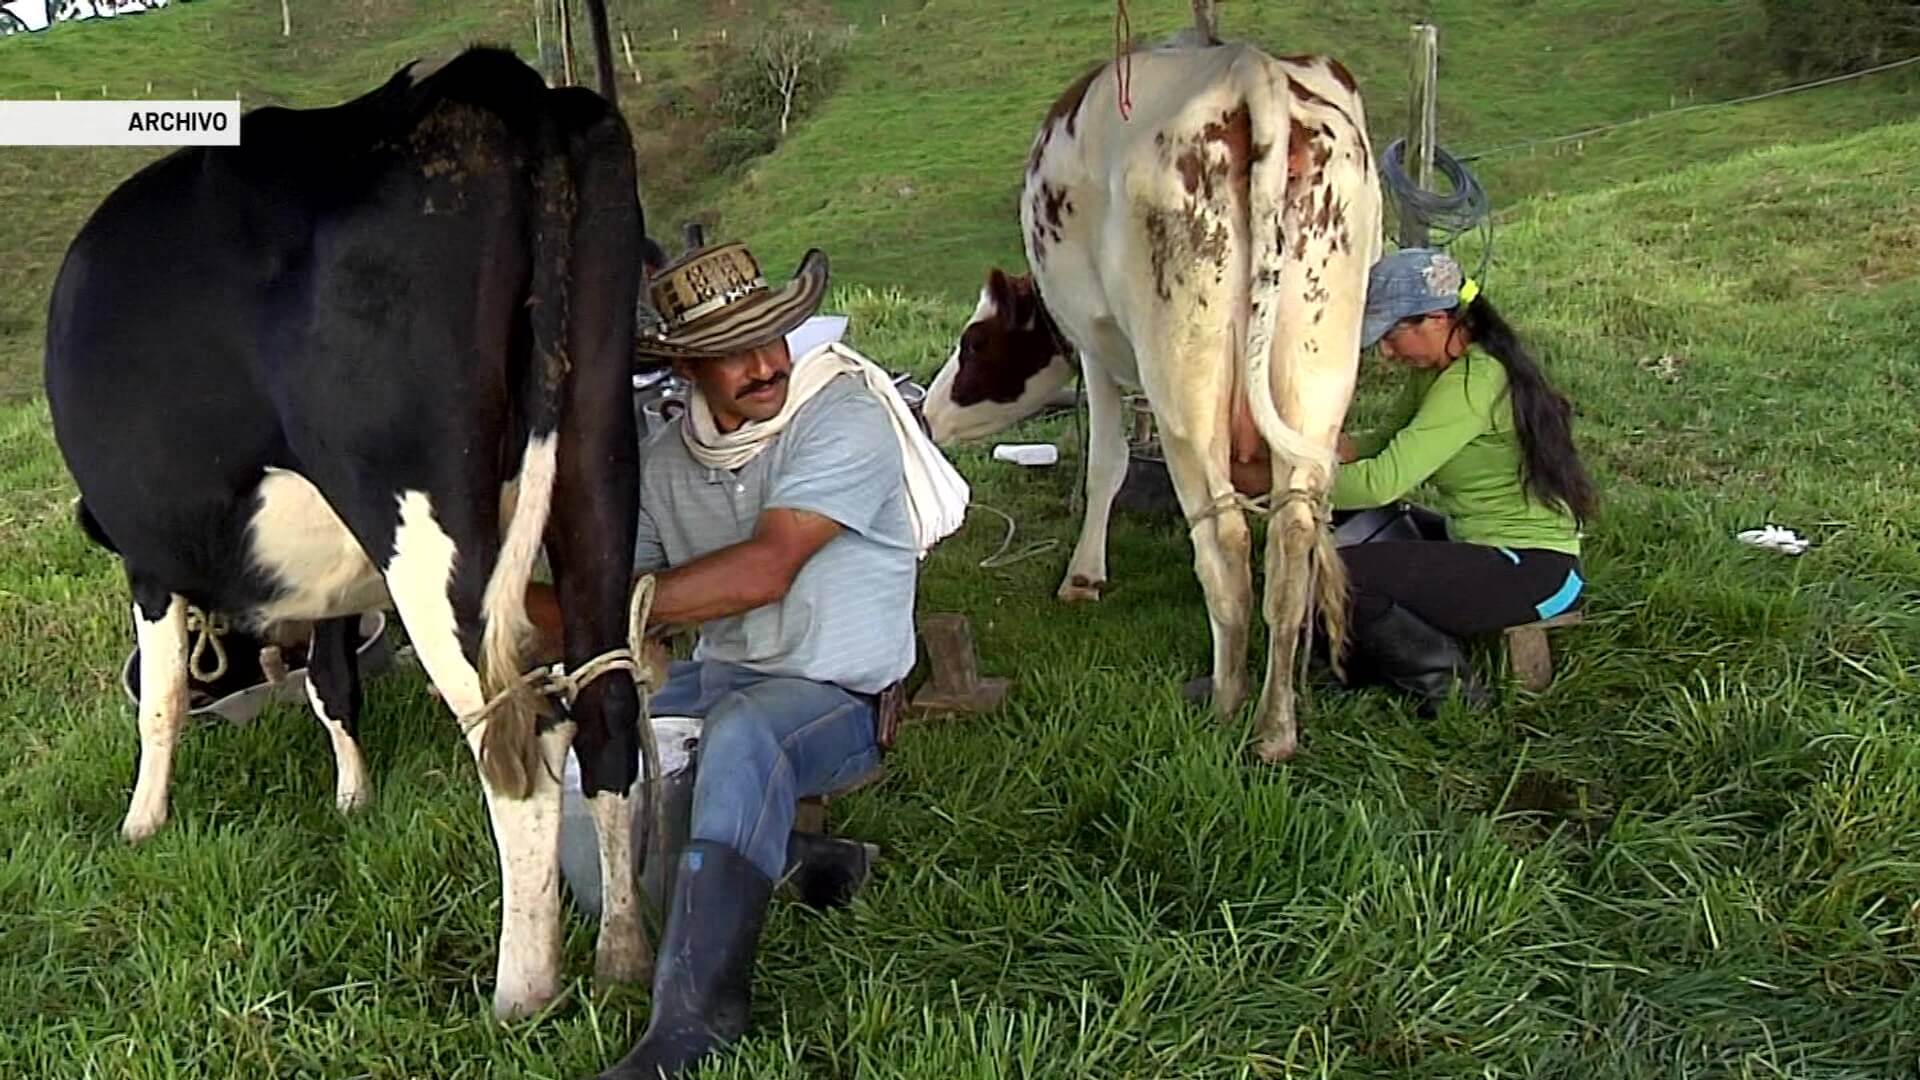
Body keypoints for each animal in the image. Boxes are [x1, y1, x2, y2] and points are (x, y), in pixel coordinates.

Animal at [45, 42, 656, 1014]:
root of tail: (495, 86)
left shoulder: (148, 557)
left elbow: (163, 699)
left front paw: (142, 821)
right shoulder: (334, 588)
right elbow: (332, 681)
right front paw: (353, 798)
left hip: (424, 519)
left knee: (520, 737)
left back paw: (520, 992)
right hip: (597, 455)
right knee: (608, 702)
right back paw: (624, 954)